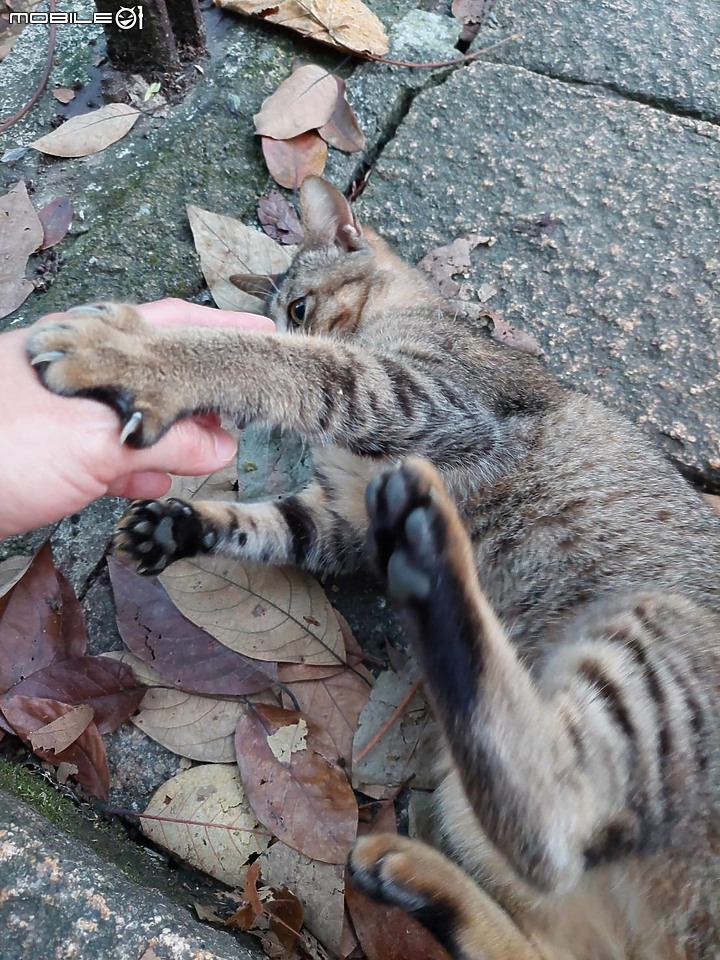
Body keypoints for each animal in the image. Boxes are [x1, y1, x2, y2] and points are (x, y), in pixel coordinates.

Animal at [28, 176, 720, 956]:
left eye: (298, 310)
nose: (290, 324)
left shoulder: (415, 395)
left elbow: (285, 366)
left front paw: (137, 353)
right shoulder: (340, 524)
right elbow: (266, 524)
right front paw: (178, 526)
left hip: (657, 629)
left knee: (548, 823)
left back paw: (437, 560)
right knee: (549, 901)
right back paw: (413, 873)